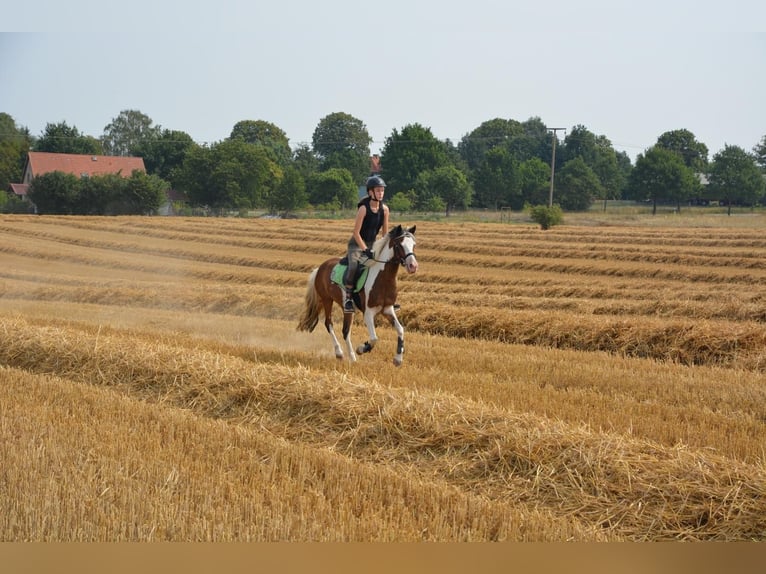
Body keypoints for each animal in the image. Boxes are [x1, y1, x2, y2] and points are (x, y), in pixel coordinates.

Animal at [298, 226, 420, 366]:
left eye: (413, 245)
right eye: (399, 245)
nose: (413, 266)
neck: (382, 279)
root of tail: (320, 268)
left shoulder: (388, 309)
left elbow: (400, 330)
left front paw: (398, 359)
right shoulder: (368, 312)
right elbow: (374, 338)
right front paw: (362, 349)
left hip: (347, 309)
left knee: (345, 331)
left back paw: (350, 356)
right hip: (327, 300)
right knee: (329, 324)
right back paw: (342, 354)